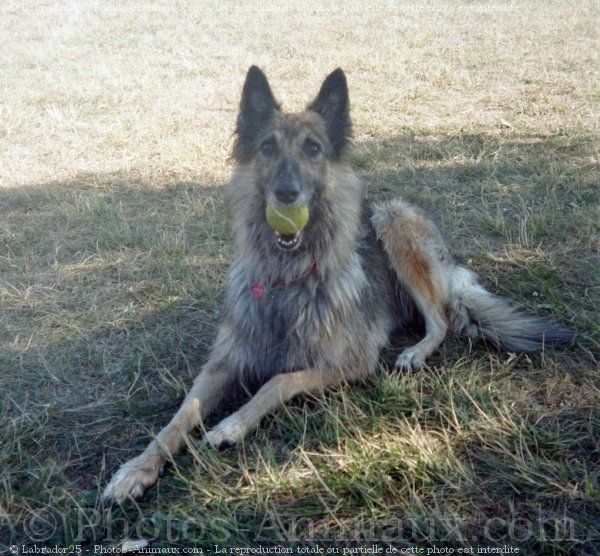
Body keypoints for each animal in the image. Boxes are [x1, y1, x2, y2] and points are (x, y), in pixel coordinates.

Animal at [103, 66, 572, 504]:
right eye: (267, 147)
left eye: (313, 148)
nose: (286, 194)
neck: (288, 278)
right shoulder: (223, 363)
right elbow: (181, 416)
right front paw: (136, 469)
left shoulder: (350, 363)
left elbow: (276, 382)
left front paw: (231, 424)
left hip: (390, 218)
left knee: (440, 320)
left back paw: (414, 353)